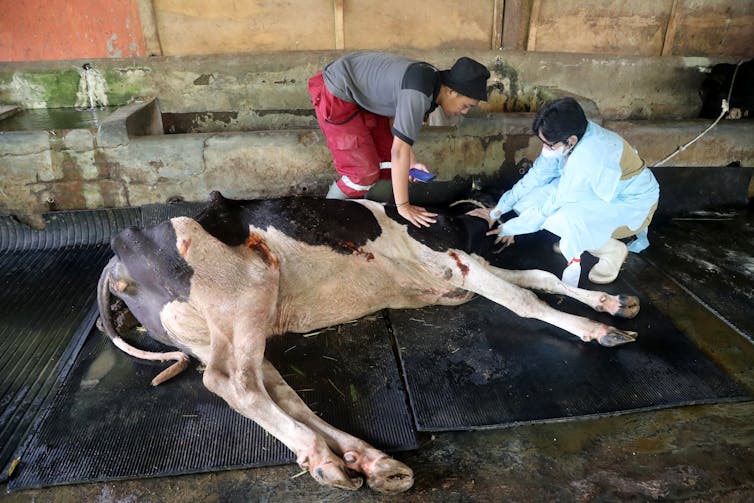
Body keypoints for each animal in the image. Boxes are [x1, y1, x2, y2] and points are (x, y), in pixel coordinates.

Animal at [97, 191, 640, 494]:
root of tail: (120, 253)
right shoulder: (455, 262)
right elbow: (525, 297)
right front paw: (596, 328)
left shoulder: (458, 277)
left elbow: (539, 278)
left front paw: (612, 303)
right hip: (245, 290)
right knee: (233, 382)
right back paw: (326, 459)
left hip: (225, 329)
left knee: (277, 390)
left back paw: (364, 459)